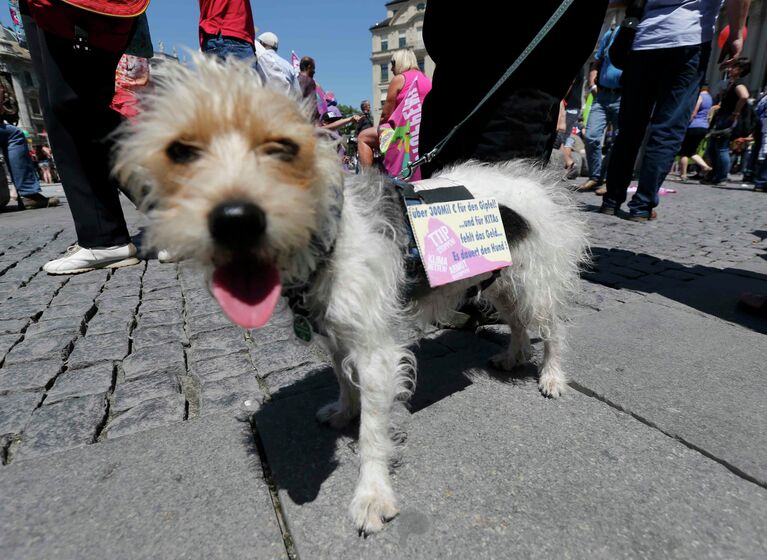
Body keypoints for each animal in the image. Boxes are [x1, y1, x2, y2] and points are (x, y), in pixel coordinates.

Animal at [115, 55, 588, 532]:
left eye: (283, 149)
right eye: (180, 152)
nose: (235, 219)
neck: (330, 244)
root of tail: (535, 181)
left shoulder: (377, 352)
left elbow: (374, 433)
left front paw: (373, 495)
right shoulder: (335, 336)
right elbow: (344, 380)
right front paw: (344, 412)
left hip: (535, 281)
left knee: (553, 330)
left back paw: (551, 376)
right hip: (499, 280)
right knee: (517, 322)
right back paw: (513, 355)